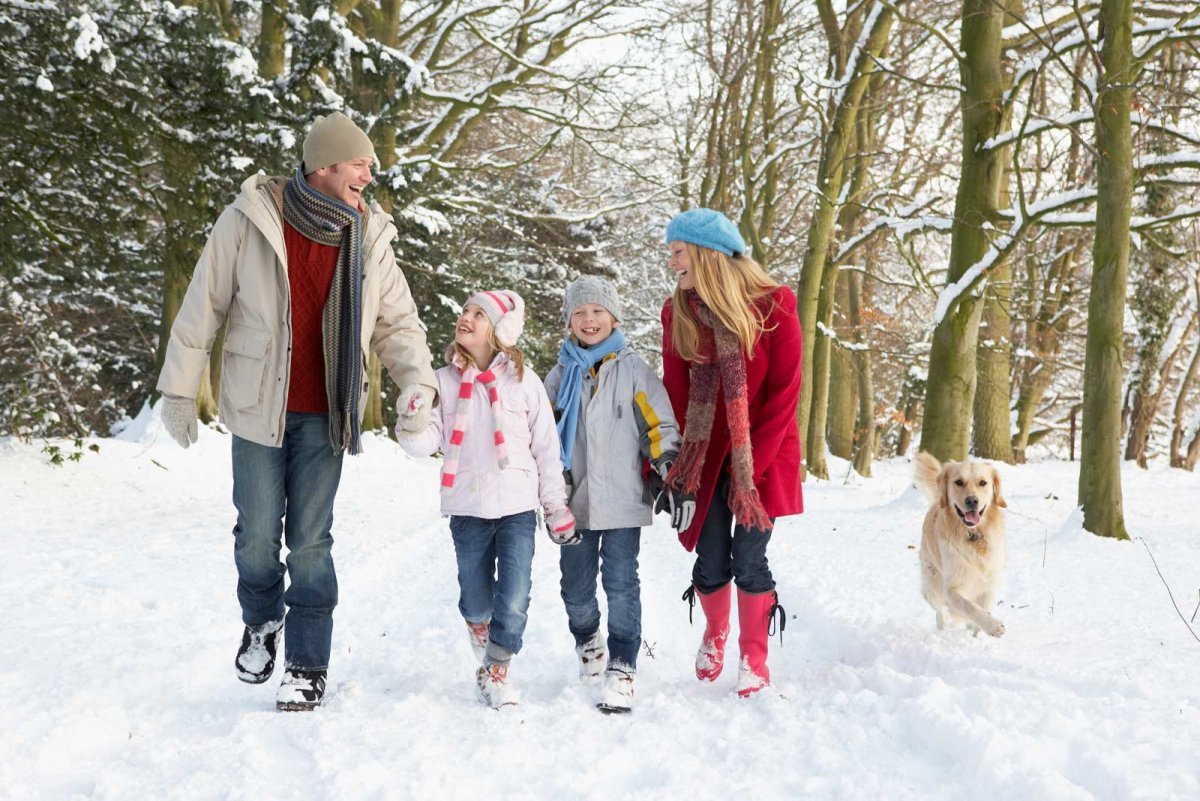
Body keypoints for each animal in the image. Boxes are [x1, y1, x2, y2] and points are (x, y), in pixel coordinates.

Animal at [912, 450, 1008, 637]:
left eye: (983, 482)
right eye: (958, 482)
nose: (972, 501)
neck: (973, 536)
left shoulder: (990, 584)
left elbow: (982, 609)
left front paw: (978, 636)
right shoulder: (952, 587)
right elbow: (969, 606)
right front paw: (993, 626)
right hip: (933, 582)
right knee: (940, 612)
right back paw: (941, 630)